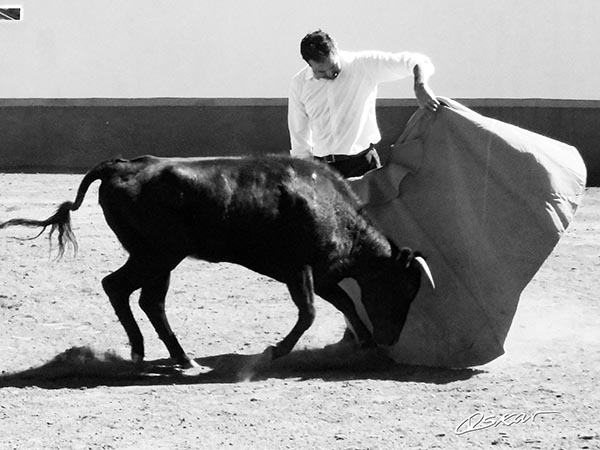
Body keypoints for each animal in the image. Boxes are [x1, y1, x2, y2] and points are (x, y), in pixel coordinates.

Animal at [0, 156, 424, 368]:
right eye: (401, 290)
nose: (390, 338)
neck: (328, 205)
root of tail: (120, 166)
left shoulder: (318, 274)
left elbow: (344, 301)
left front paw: (364, 341)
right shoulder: (298, 269)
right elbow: (309, 312)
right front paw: (274, 351)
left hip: (157, 258)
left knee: (142, 298)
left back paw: (170, 355)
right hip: (159, 255)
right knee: (124, 289)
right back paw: (164, 355)